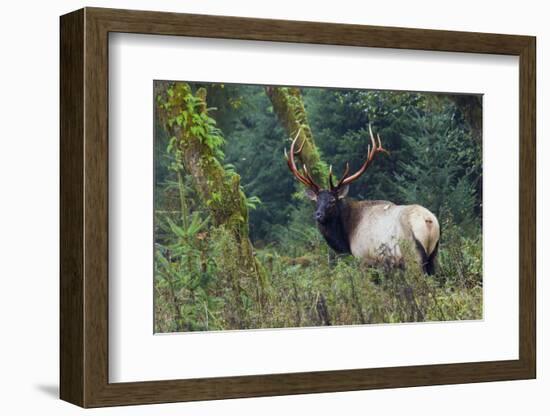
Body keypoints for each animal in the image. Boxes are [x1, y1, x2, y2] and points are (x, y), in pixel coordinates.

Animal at [286, 125, 442, 274]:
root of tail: (428, 221)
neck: (347, 237)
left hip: (412, 255)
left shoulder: (364, 259)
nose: (318, 215)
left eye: (332, 201)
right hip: (433, 254)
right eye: (316, 201)